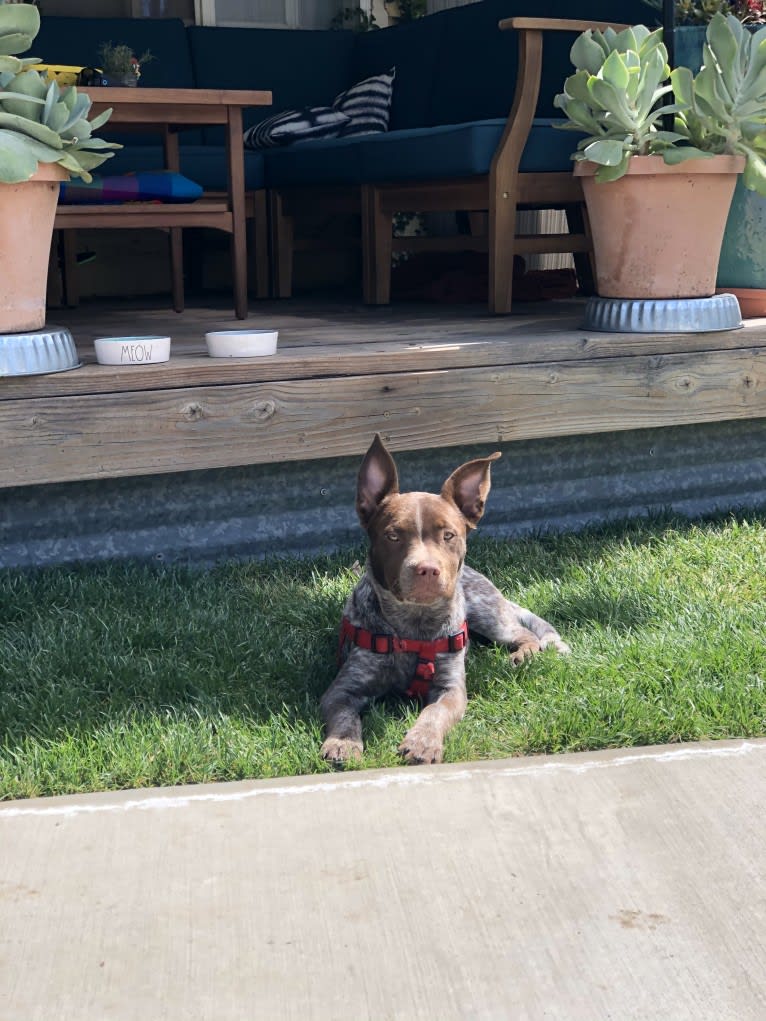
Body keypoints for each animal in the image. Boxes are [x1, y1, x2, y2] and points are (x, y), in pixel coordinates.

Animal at [318, 432, 571, 767]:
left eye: (448, 535)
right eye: (393, 536)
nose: (426, 569)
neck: (414, 624)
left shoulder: (451, 688)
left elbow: (434, 712)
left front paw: (423, 742)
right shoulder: (343, 687)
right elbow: (345, 715)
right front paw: (343, 743)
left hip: (487, 614)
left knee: (523, 632)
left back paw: (524, 654)